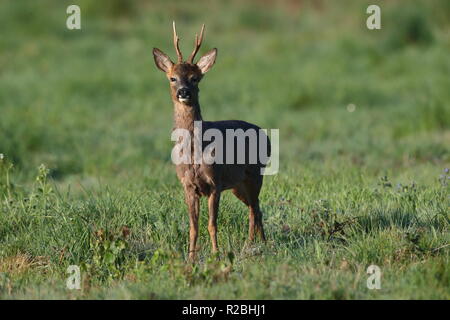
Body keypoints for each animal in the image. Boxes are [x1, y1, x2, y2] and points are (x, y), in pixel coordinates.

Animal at [153, 23, 268, 262]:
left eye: (195, 78)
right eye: (172, 78)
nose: (183, 92)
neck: (194, 152)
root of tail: (266, 135)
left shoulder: (215, 183)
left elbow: (212, 224)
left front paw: (216, 255)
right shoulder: (188, 186)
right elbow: (193, 227)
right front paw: (190, 258)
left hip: (255, 174)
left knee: (255, 209)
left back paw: (253, 245)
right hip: (238, 186)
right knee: (256, 208)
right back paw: (260, 243)